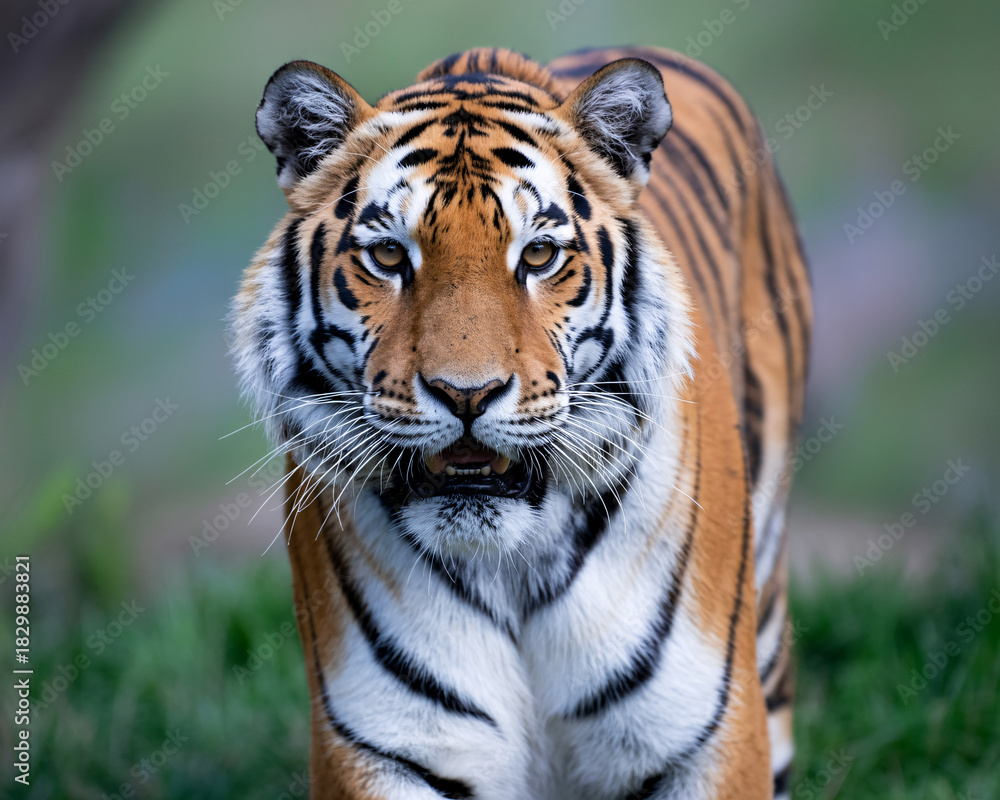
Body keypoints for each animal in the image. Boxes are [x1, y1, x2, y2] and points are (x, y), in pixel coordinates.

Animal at [231, 46, 810, 800]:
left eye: (538, 255)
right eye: (388, 256)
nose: (466, 394)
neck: (512, 565)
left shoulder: (704, 736)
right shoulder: (384, 746)